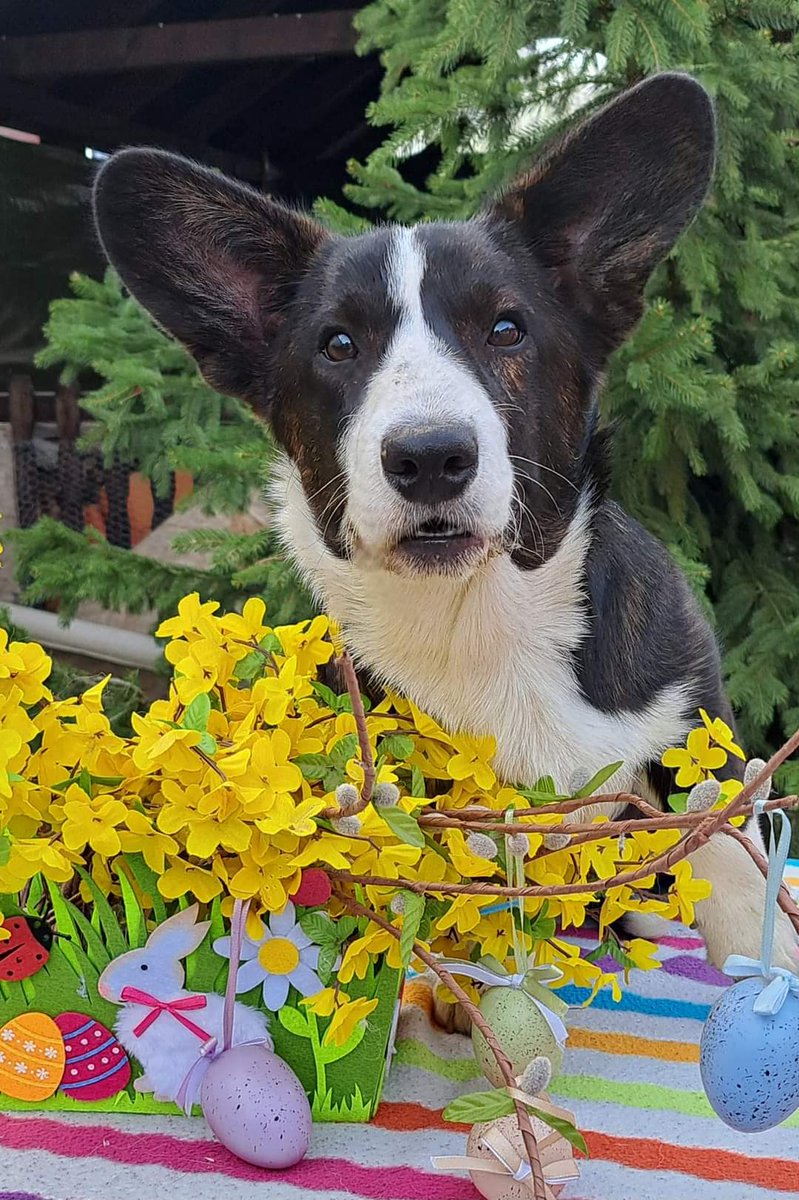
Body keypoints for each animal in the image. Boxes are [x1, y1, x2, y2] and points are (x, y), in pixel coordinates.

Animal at [94, 70, 796, 969]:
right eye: (337, 345)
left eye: (506, 329)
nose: (429, 456)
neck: (478, 618)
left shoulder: (688, 716)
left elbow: (721, 847)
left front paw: (762, 963)